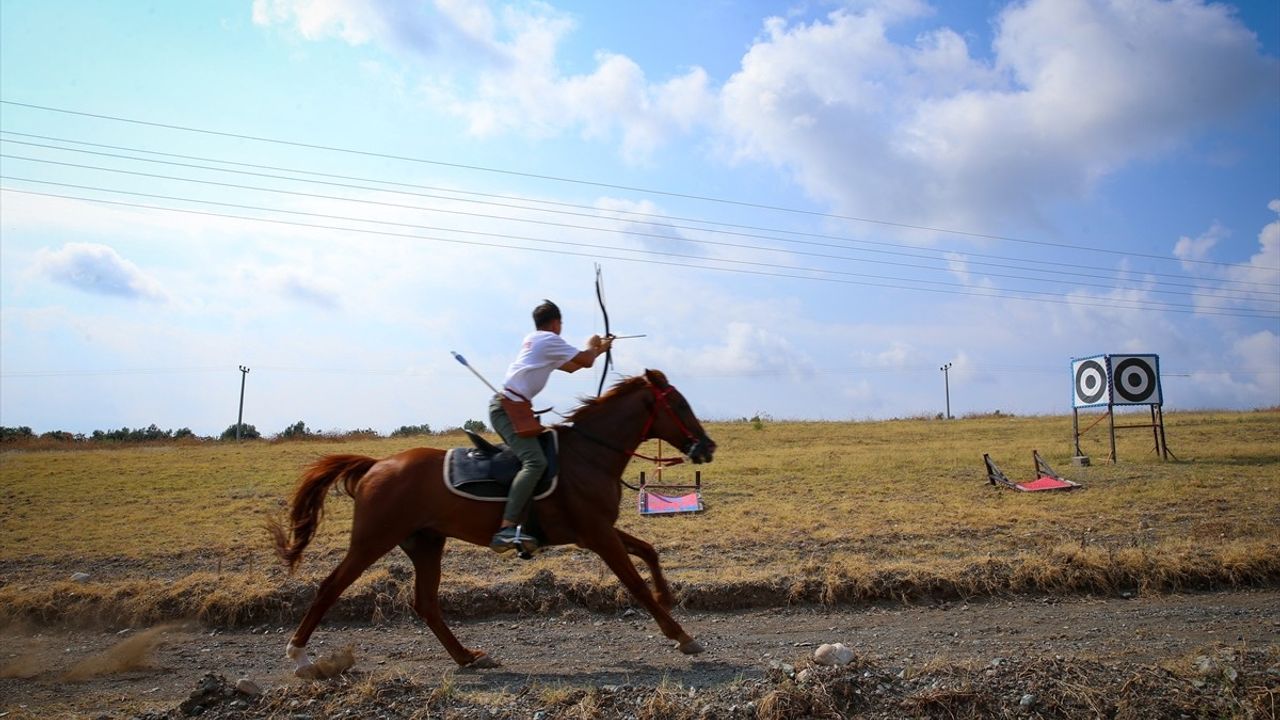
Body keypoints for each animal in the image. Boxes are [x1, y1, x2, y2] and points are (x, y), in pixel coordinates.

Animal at [270, 366, 716, 676]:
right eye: (680, 405)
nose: (707, 446)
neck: (587, 455)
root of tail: (377, 464)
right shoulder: (597, 535)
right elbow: (635, 583)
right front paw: (681, 635)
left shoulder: (597, 530)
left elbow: (649, 551)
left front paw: (668, 596)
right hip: (372, 540)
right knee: (330, 587)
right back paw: (299, 657)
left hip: (426, 543)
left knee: (426, 603)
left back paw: (467, 656)